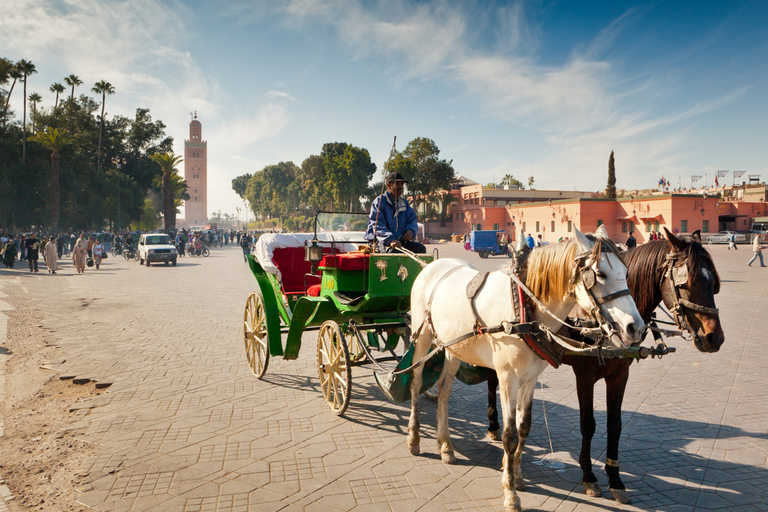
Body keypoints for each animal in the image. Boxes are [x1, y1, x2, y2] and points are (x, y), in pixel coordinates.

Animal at [408, 228, 640, 512]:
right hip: (422, 336)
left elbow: (524, 428)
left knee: (444, 389)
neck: (525, 310)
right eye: (601, 275)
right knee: (416, 381)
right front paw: (510, 493)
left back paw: (445, 445)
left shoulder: (530, 378)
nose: (635, 327)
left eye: (626, 272)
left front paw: (517, 476)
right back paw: (414, 438)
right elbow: (509, 435)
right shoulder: (508, 377)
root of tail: (431, 265)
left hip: (453, 346)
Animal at [488, 228, 724, 504]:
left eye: (714, 283)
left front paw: (615, 479)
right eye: (685, 284)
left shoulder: (620, 374)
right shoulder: (584, 374)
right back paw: (493, 426)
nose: (714, 338)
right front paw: (589, 476)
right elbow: (588, 424)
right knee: (492, 381)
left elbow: (615, 425)